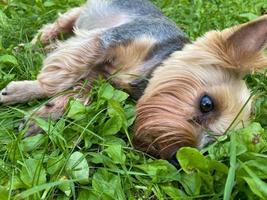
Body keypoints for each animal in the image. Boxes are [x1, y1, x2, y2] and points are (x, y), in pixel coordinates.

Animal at [0, 0, 266, 161]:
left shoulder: (102, 77)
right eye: (207, 104)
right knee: (53, 28)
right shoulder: (111, 38)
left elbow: (81, 93)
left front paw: (43, 116)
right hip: (77, 13)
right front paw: (32, 88)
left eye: (211, 145)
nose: (176, 159)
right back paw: (30, 47)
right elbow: (70, 68)